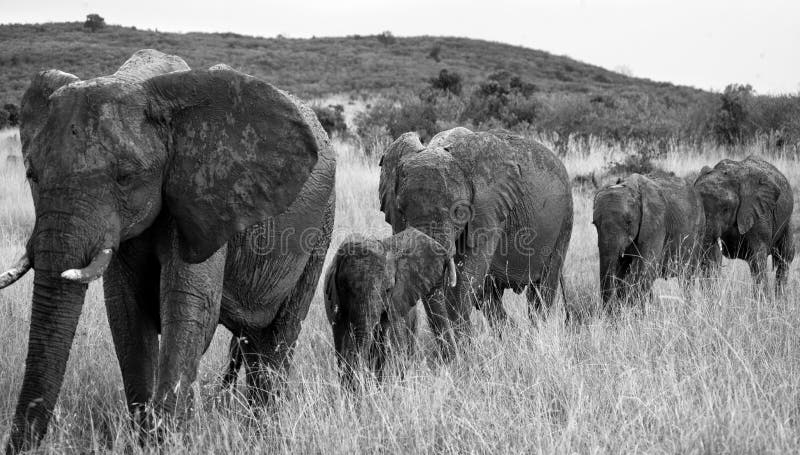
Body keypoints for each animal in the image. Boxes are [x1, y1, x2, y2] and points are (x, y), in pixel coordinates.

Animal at [0, 48, 334, 454]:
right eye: (32, 175)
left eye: (126, 177)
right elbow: (126, 313)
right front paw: (148, 439)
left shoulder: (201, 194)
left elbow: (188, 306)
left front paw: (168, 440)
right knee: (254, 343)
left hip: (320, 228)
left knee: (277, 340)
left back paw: (264, 433)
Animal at [378, 126, 572, 350]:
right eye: (400, 211)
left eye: (459, 212)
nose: (451, 353)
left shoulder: (490, 211)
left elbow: (466, 279)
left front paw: (464, 352)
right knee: (490, 300)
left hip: (564, 221)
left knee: (541, 293)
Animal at [592, 172, 704, 314]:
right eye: (595, 224)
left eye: (628, 222)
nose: (610, 313)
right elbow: (622, 272)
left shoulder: (655, 224)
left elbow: (644, 269)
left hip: (699, 231)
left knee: (686, 277)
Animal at [692, 157, 792, 296]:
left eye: (726, 209)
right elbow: (710, 258)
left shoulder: (759, 213)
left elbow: (758, 258)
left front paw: (761, 300)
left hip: (787, 223)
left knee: (784, 259)